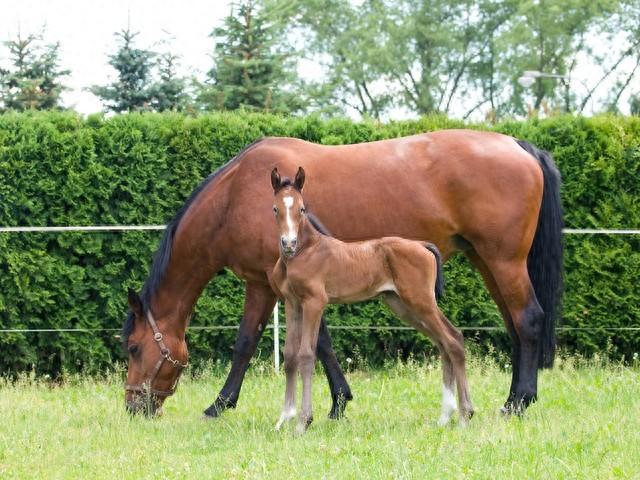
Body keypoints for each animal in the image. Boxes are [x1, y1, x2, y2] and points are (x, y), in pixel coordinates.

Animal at [268, 167, 472, 434]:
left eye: (302, 209)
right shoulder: (292, 303)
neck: (304, 252)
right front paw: (284, 418)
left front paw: (303, 421)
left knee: (453, 339)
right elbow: (290, 355)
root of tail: (422, 245)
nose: (288, 243)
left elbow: (306, 355)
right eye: (275, 209)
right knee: (444, 342)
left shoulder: (314, 302)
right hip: (402, 305)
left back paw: (464, 415)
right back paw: (445, 416)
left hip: (420, 301)